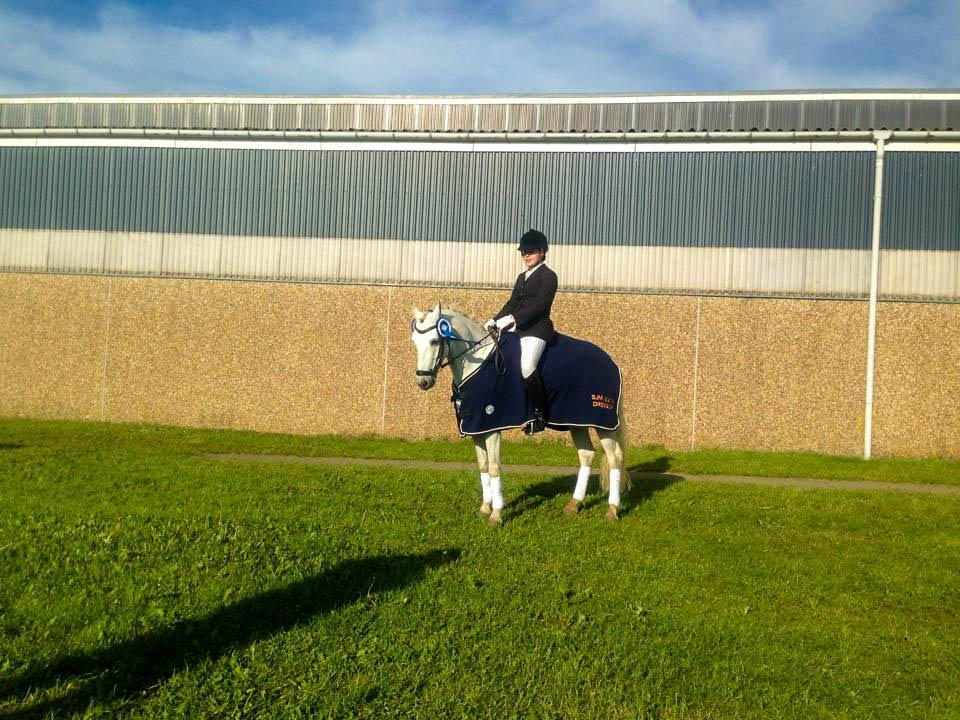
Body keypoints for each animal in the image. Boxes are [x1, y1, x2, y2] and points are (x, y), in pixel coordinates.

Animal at [410, 303, 631, 526]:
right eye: (414, 341)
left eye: (434, 341)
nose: (423, 382)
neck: (478, 361)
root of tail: (611, 362)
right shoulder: (476, 428)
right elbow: (483, 467)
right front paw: (484, 508)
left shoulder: (492, 426)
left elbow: (494, 468)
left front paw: (496, 515)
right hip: (577, 422)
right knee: (586, 455)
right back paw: (574, 504)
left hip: (603, 423)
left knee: (614, 458)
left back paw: (612, 510)